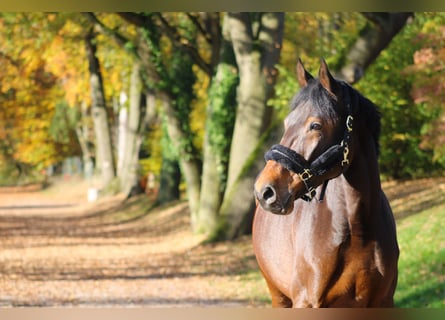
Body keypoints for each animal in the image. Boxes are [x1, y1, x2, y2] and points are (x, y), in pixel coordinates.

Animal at [253, 58, 398, 306]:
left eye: (315, 125)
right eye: (287, 123)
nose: (265, 191)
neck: (358, 230)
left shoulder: (383, 302)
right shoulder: (306, 302)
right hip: (278, 296)